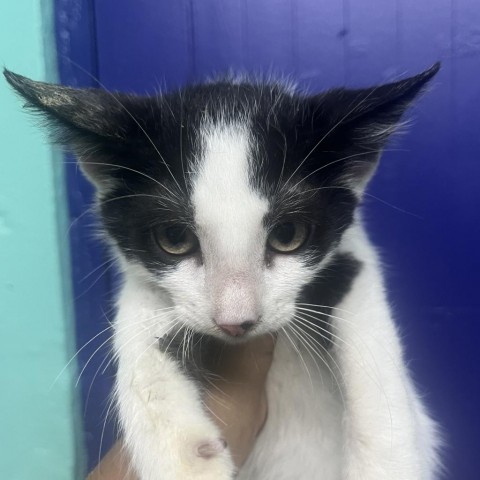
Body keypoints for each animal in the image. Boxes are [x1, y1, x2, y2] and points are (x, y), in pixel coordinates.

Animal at [5, 64, 442, 480]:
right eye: (174, 238)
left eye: (288, 235)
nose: (236, 320)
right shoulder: (146, 280)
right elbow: (139, 330)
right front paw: (184, 458)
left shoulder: (353, 256)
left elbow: (373, 359)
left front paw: (387, 463)